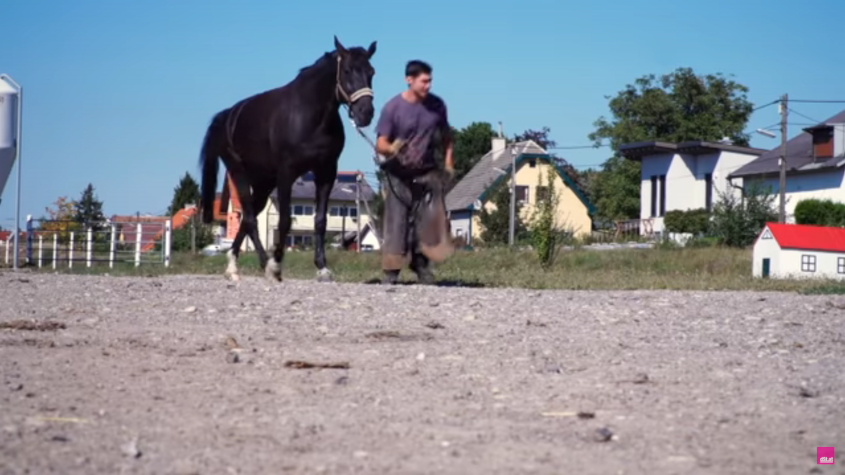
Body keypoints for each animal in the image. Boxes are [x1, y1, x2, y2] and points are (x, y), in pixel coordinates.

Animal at [198, 36, 377, 283]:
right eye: (348, 70)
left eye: (371, 72)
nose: (365, 113)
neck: (310, 116)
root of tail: (227, 116)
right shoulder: (287, 174)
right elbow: (284, 221)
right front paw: (276, 265)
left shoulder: (326, 172)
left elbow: (320, 221)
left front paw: (322, 268)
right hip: (239, 173)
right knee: (251, 219)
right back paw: (258, 265)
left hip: (263, 183)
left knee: (247, 218)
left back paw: (237, 264)